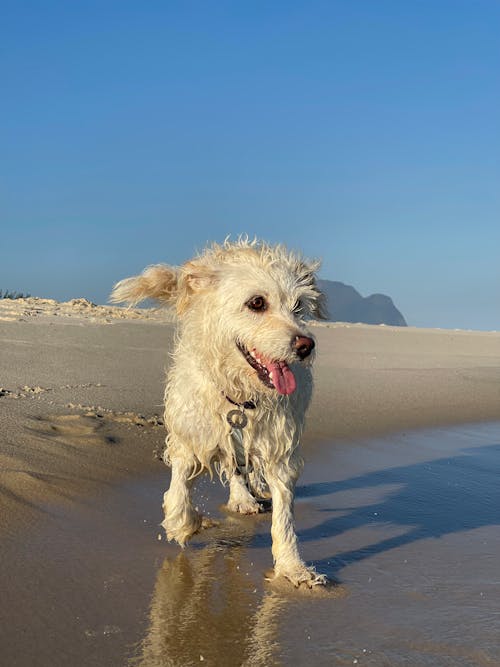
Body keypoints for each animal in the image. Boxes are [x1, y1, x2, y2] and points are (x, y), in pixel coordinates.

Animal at [111, 240, 326, 588]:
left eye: (298, 307)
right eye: (257, 302)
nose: (305, 346)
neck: (240, 396)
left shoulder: (280, 449)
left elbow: (283, 514)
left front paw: (293, 567)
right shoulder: (189, 434)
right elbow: (180, 486)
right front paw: (184, 523)